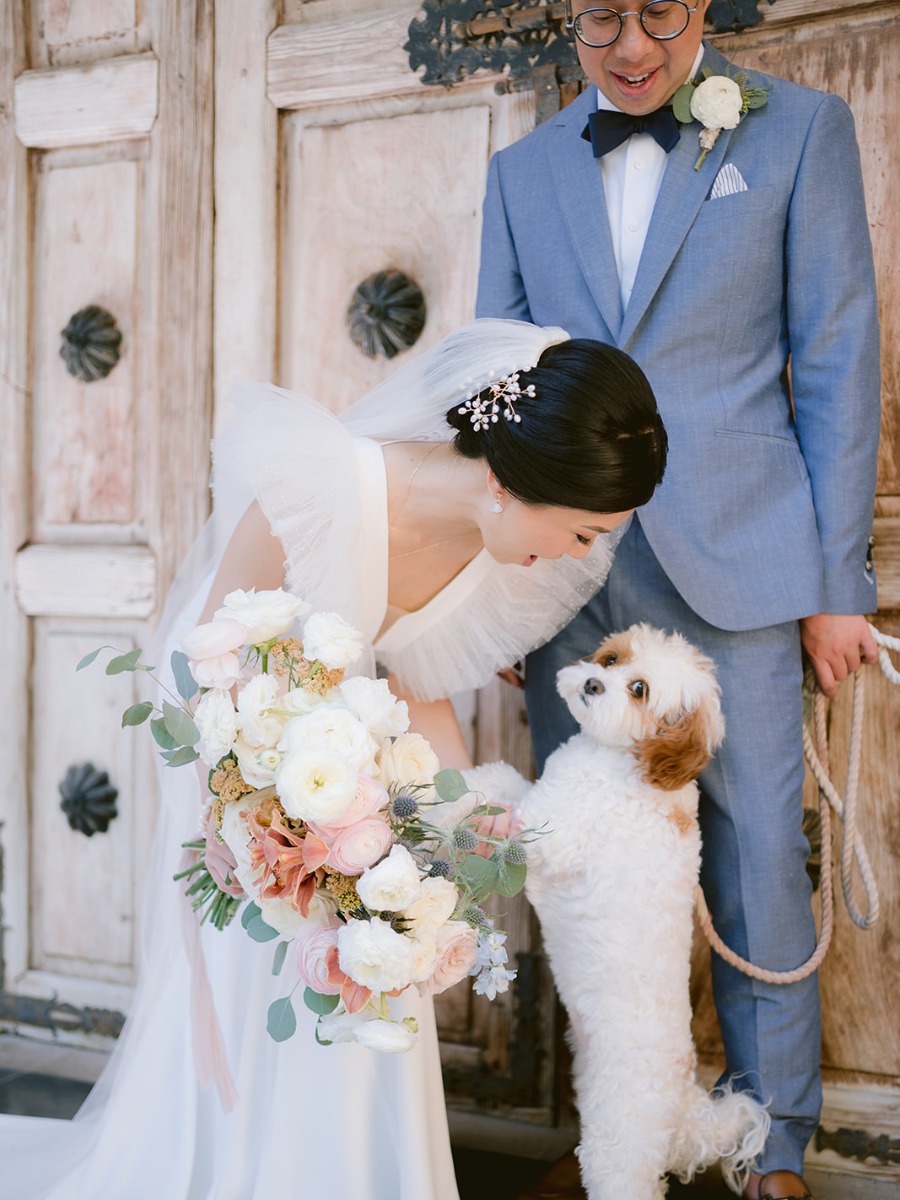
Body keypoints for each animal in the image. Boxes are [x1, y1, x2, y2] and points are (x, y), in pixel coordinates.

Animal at [518, 628, 772, 1200]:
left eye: (640, 690)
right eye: (612, 660)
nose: (593, 683)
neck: (629, 760)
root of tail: (684, 1107)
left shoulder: (546, 829)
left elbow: (494, 795)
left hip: (618, 1141)